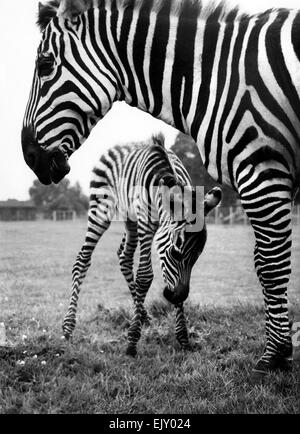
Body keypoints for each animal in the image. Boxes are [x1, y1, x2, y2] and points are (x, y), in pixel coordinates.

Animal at [62, 135, 223, 356]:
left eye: (197, 257)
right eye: (176, 253)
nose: (175, 296)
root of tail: (119, 144)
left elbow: (164, 279)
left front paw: (183, 338)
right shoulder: (146, 225)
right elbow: (145, 276)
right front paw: (132, 342)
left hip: (130, 218)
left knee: (124, 256)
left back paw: (143, 315)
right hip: (101, 209)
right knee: (83, 259)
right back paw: (69, 327)